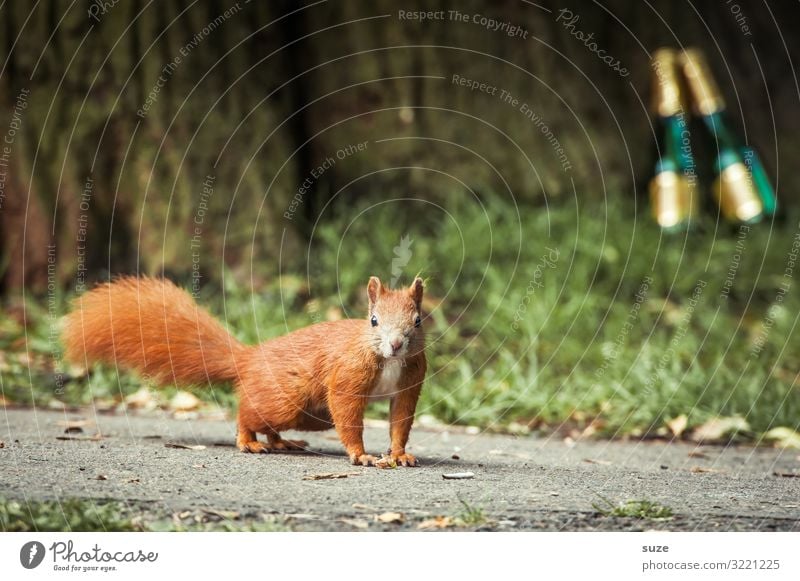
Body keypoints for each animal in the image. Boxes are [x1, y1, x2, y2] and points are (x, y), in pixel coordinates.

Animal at [63, 276, 428, 466]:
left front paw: (400, 454)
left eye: (418, 320)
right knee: (248, 414)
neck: (388, 360)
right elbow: (349, 414)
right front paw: (361, 455)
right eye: (374, 320)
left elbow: (400, 422)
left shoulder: (409, 384)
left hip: (309, 415)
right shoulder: (348, 376)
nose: (396, 344)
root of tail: (249, 358)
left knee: (270, 425)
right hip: (285, 401)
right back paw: (248, 442)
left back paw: (281, 442)